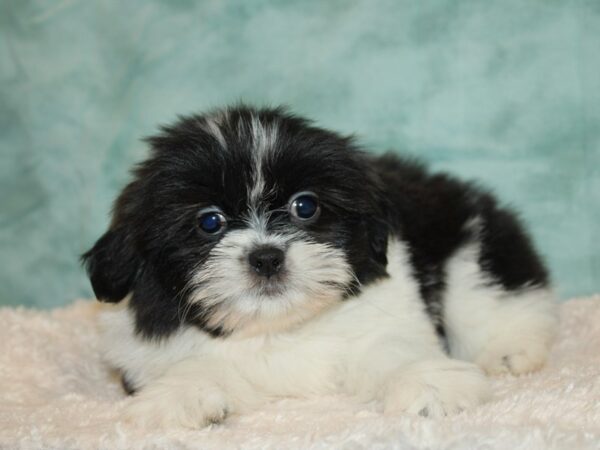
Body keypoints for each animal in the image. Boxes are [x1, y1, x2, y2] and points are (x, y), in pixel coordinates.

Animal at [83, 105, 556, 428]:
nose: (266, 256)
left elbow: (392, 347)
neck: (279, 327)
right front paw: (179, 397)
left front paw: (428, 382)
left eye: (305, 206)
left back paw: (509, 350)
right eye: (209, 222)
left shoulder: (387, 313)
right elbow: (194, 365)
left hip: (467, 236)